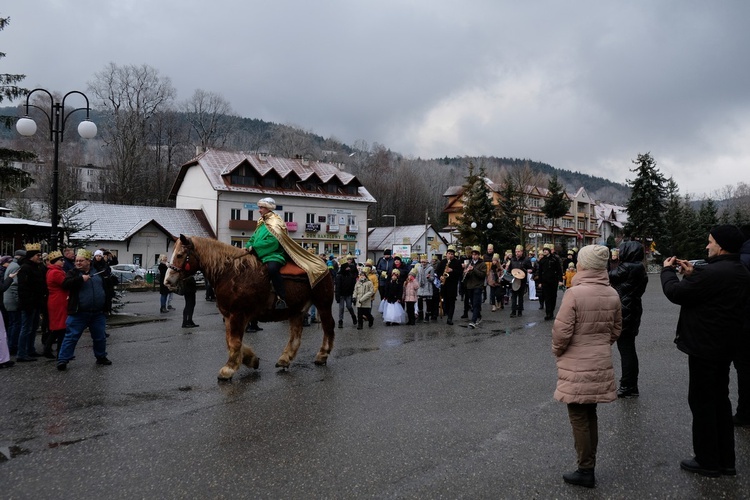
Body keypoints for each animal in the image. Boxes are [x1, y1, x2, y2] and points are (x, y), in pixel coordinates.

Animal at [164, 234, 334, 378]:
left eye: (180, 255)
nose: (167, 281)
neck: (231, 273)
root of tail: (323, 265)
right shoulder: (229, 316)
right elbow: (230, 340)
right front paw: (250, 359)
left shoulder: (237, 314)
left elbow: (234, 342)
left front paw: (229, 368)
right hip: (297, 310)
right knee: (296, 335)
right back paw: (285, 359)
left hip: (323, 304)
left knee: (328, 326)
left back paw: (322, 355)